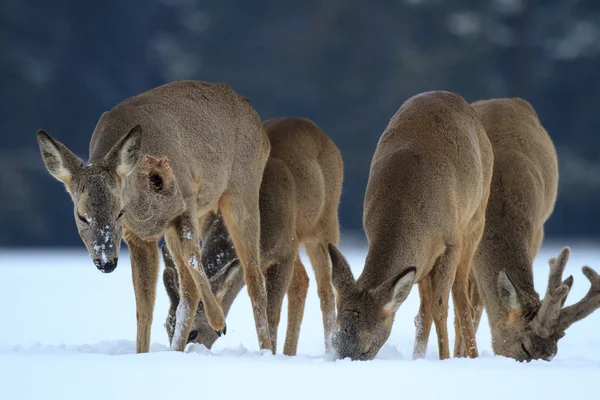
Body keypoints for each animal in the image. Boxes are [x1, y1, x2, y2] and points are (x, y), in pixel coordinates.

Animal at [35, 80, 272, 354]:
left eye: (119, 212)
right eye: (82, 216)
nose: (106, 263)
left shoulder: (186, 202)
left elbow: (194, 260)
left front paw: (218, 322)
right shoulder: (137, 236)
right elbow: (144, 306)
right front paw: (141, 354)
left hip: (242, 188)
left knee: (253, 275)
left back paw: (266, 349)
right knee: (187, 288)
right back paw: (177, 349)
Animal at [164, 117, 344, 354]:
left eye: (194, 332)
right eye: (167, 326)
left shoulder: (285, 251)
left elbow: (271, 314)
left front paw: (270, 353)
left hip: (325, 221)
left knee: (325, 289)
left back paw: (328, 349)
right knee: (302, 280)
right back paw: (289, 353)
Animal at [328, 90, 492, 360]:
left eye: (367, 347)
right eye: (334, 340)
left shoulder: (451, 242)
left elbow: (441, 307)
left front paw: (444, 358)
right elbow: (426, 311)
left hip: (475, 219)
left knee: (461, 297)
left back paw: (470, 354)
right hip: (425, 259)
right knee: (424, 309)